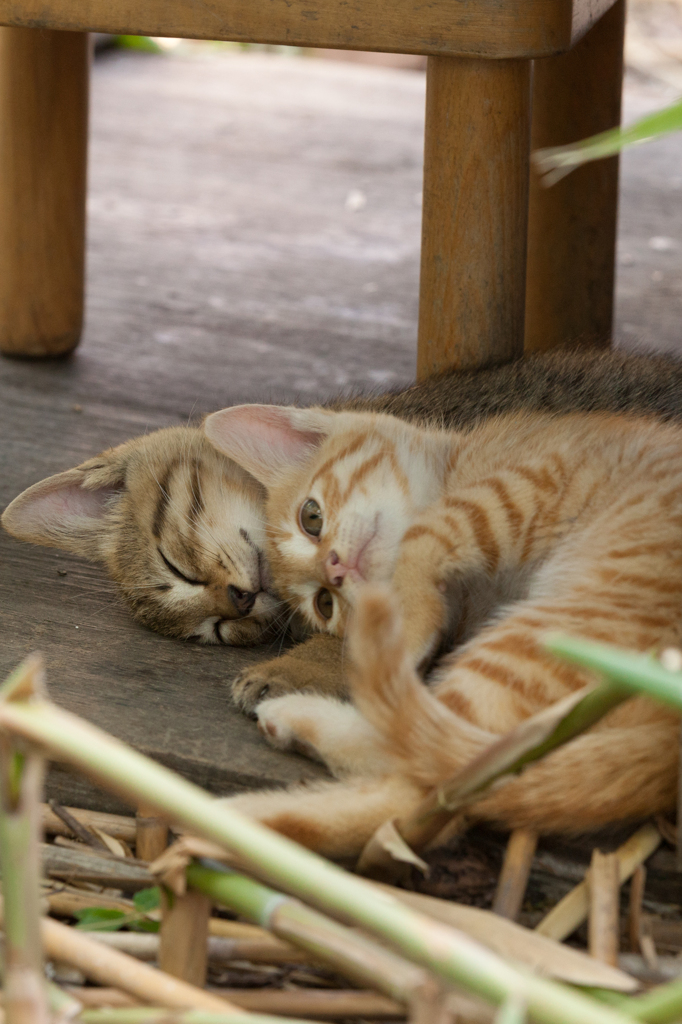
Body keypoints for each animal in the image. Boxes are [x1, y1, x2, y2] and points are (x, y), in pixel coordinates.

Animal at [204, 403, 679, 860]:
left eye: (311, 518)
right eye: (325, 603)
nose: (334, 570)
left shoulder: (526, 479)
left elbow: (424, 532)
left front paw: (405, 626)